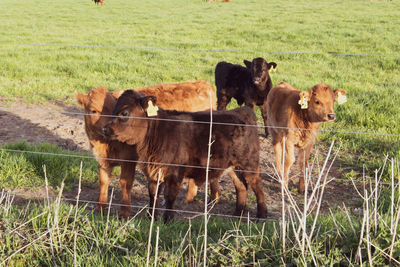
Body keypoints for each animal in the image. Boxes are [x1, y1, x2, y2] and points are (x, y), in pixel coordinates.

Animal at [76, 80, 217, 219]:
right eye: (93, 111)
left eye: (116, 111)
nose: (105, 129)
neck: (106, 145)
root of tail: (202, 83)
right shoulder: (103, 161)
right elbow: (104, 181)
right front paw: (100, 209)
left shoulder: (129, 160)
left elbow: (125, 182)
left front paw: (124, 213)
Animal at [103, 91, 268, 223]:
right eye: (113, 110)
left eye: (124, 113)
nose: (105, 128)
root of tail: (243, 111)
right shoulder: (154, 171)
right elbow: (153, 195)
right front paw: (151, 217)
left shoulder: (175, 172)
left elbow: (169, 196)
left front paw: (167, 220)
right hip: (232, 166)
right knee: (241, 187)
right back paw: (237, 215)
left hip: (250, 163)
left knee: (258, 186)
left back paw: (261, 216)